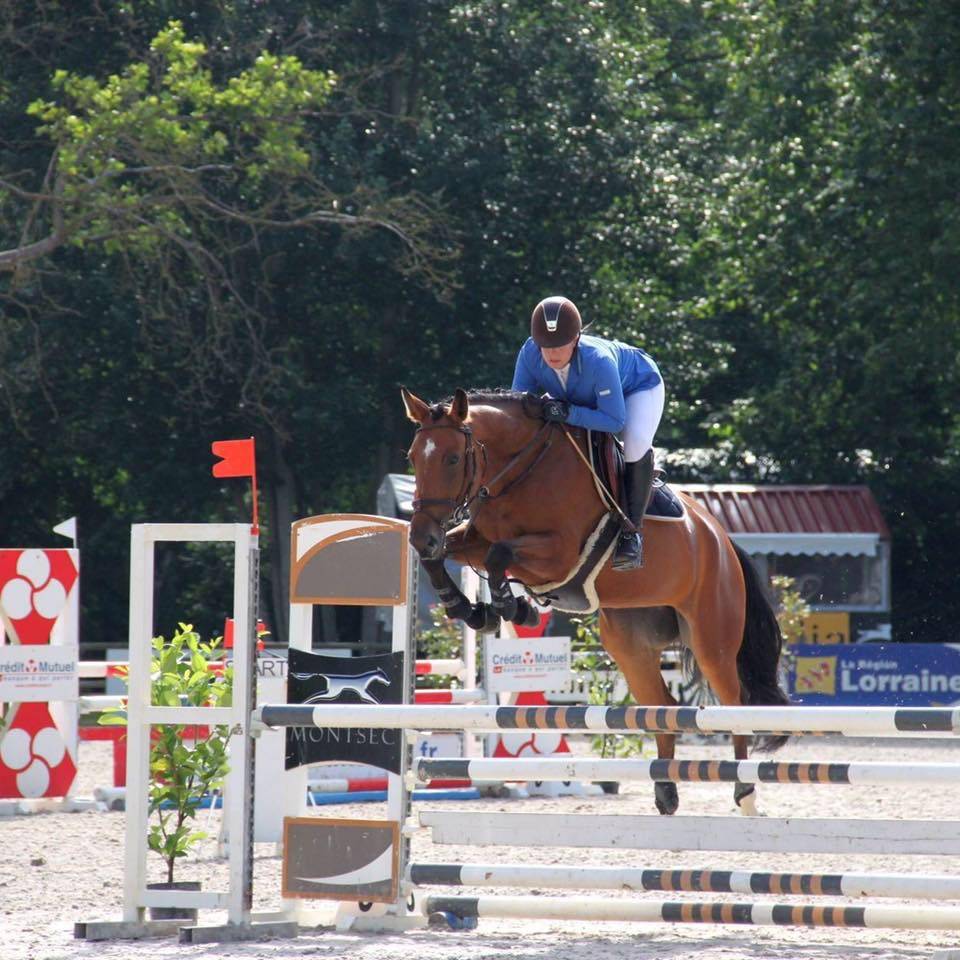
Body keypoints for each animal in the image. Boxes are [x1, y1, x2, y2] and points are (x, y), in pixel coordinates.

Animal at [401, 386, 789, 816]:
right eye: (413, 458)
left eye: (453, 458)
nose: (420, 536)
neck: (520, 471)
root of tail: (720, 538)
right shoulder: (475, 536)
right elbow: (446, 557)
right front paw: (466, 608)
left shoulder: (558, 554)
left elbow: (499, 555)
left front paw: (513, 608)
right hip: (630, 644)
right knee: (663, 703)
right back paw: (666, 792)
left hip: (712, 639)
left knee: (734, 702)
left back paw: (745, 792)